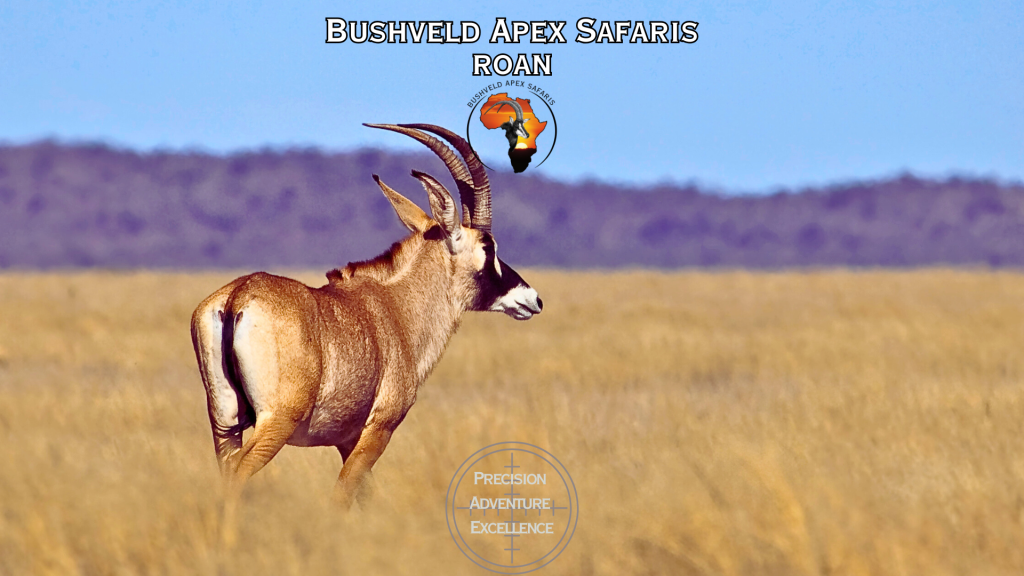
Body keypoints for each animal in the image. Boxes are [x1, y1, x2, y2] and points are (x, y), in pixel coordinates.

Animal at [190, 123, 542, 508]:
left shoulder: (346, 440)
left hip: (225, 424)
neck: (396, 306)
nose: (533, 299)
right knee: (239, 476)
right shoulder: (378, 429)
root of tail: (239, 295)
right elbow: (343, 496)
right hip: (276, 422)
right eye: (487, 246)